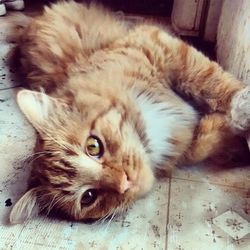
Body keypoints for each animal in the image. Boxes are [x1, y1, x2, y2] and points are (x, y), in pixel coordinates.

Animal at [8, 0, 250, 225]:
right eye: (88, 197)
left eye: (93, 146)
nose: (125, 182)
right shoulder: (184, 143)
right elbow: (204, 143)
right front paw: (234, 141)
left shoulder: (159, 46)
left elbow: (211, 80)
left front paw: (241, 106)